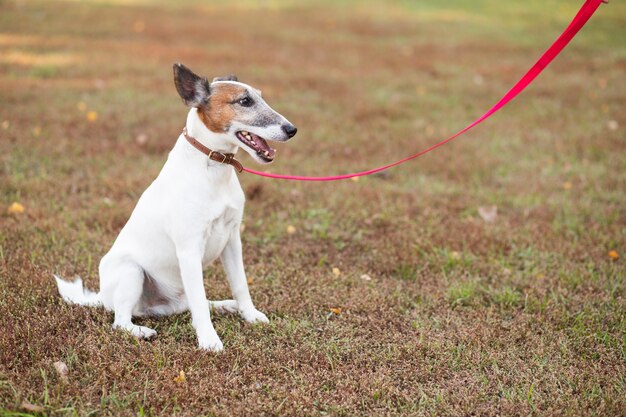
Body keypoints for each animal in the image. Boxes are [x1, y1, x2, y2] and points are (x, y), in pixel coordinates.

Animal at [54, 63, 296, 350]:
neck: (212, 167)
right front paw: (209, 340)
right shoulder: (189, 250)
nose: (292, 129)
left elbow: (240, 286)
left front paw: (250, 315)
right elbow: (200, 305)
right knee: (122, 321)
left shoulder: (232, 240)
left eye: (261, 97)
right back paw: (141, 331)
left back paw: (226, 305)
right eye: (244, 101)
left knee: (192, 303)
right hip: (131, 272)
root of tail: (102, 297)